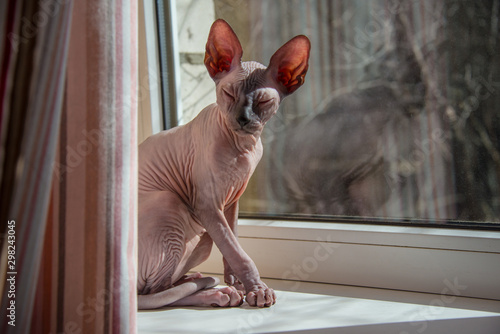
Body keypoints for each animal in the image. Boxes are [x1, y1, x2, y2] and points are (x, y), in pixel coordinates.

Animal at [137, 19, 308, 310]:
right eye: (228, 93)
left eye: (263, 101)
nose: (243, 118)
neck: (243, 146)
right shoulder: (208, 205)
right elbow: (238, 252)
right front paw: (257, 290)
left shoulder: (231, 203)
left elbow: (233, 243)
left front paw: (238, 283)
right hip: (171, 203)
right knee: (155, 294)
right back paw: (215, 293)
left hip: (200, 235)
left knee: (164, 287)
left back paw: (201, 281)